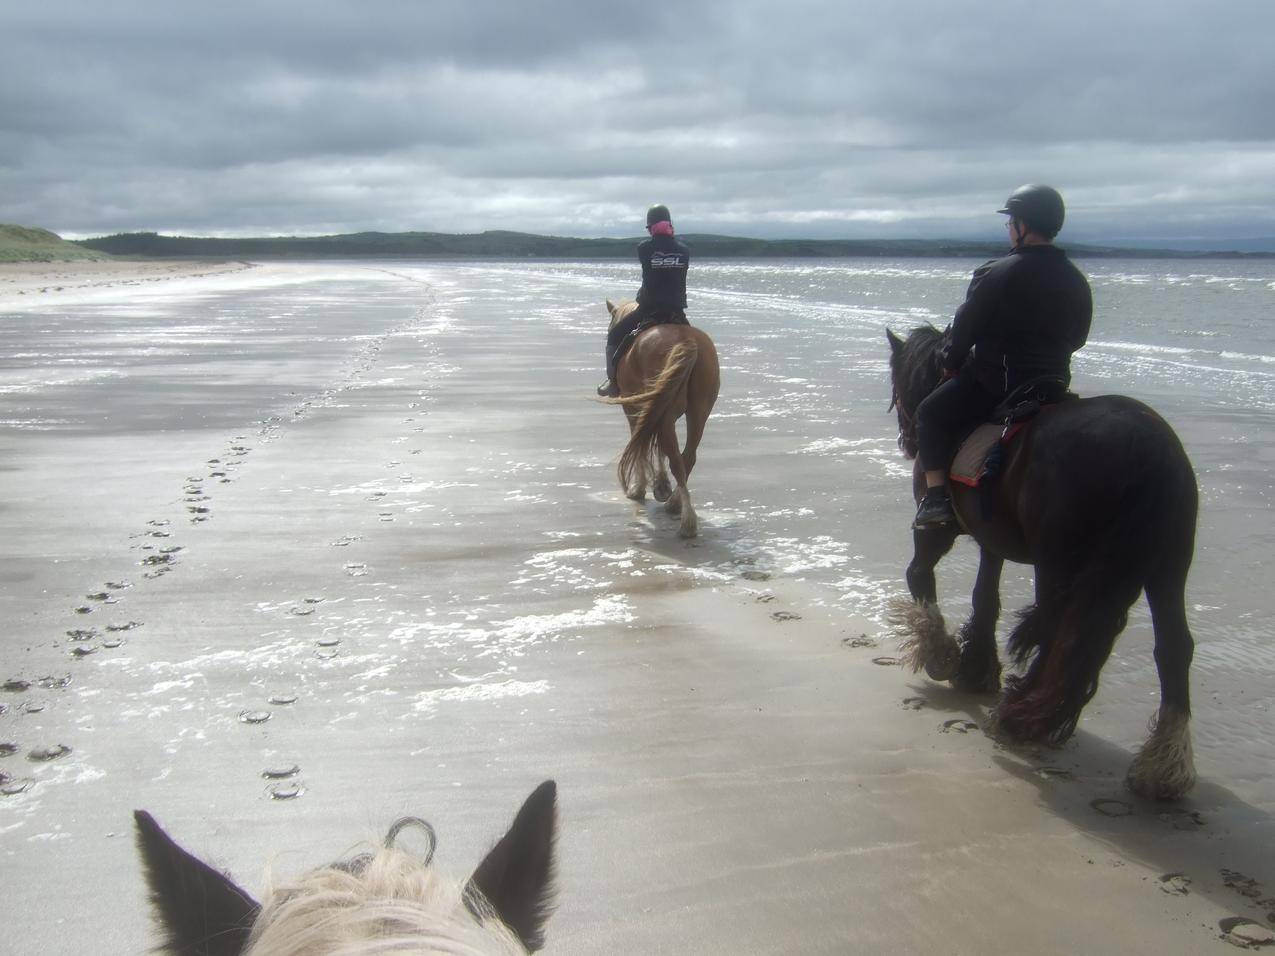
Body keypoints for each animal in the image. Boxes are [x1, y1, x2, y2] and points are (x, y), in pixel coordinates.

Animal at [596, 299, 719, 540]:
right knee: (687, 457)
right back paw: (675, 504)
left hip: (665, 413)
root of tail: (687, 341)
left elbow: (641, 444)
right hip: (699, 412)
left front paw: (640, 488)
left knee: (676, 459)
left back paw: (686, 522)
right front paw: (660, 486)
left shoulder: (634, 409)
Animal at [882, 326, 1198, 805]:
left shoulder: (937, 530)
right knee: (1173, 648)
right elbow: (985, 596)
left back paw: (1021, 716)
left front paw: (941, 654)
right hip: (1168, 569)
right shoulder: (991, 539)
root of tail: (1150, 451)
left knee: (1060, 631)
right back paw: (1164, 765)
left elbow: (919, 573)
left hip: (1060, 563)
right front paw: (975, 667)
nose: (907, 439)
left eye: (897, 383)